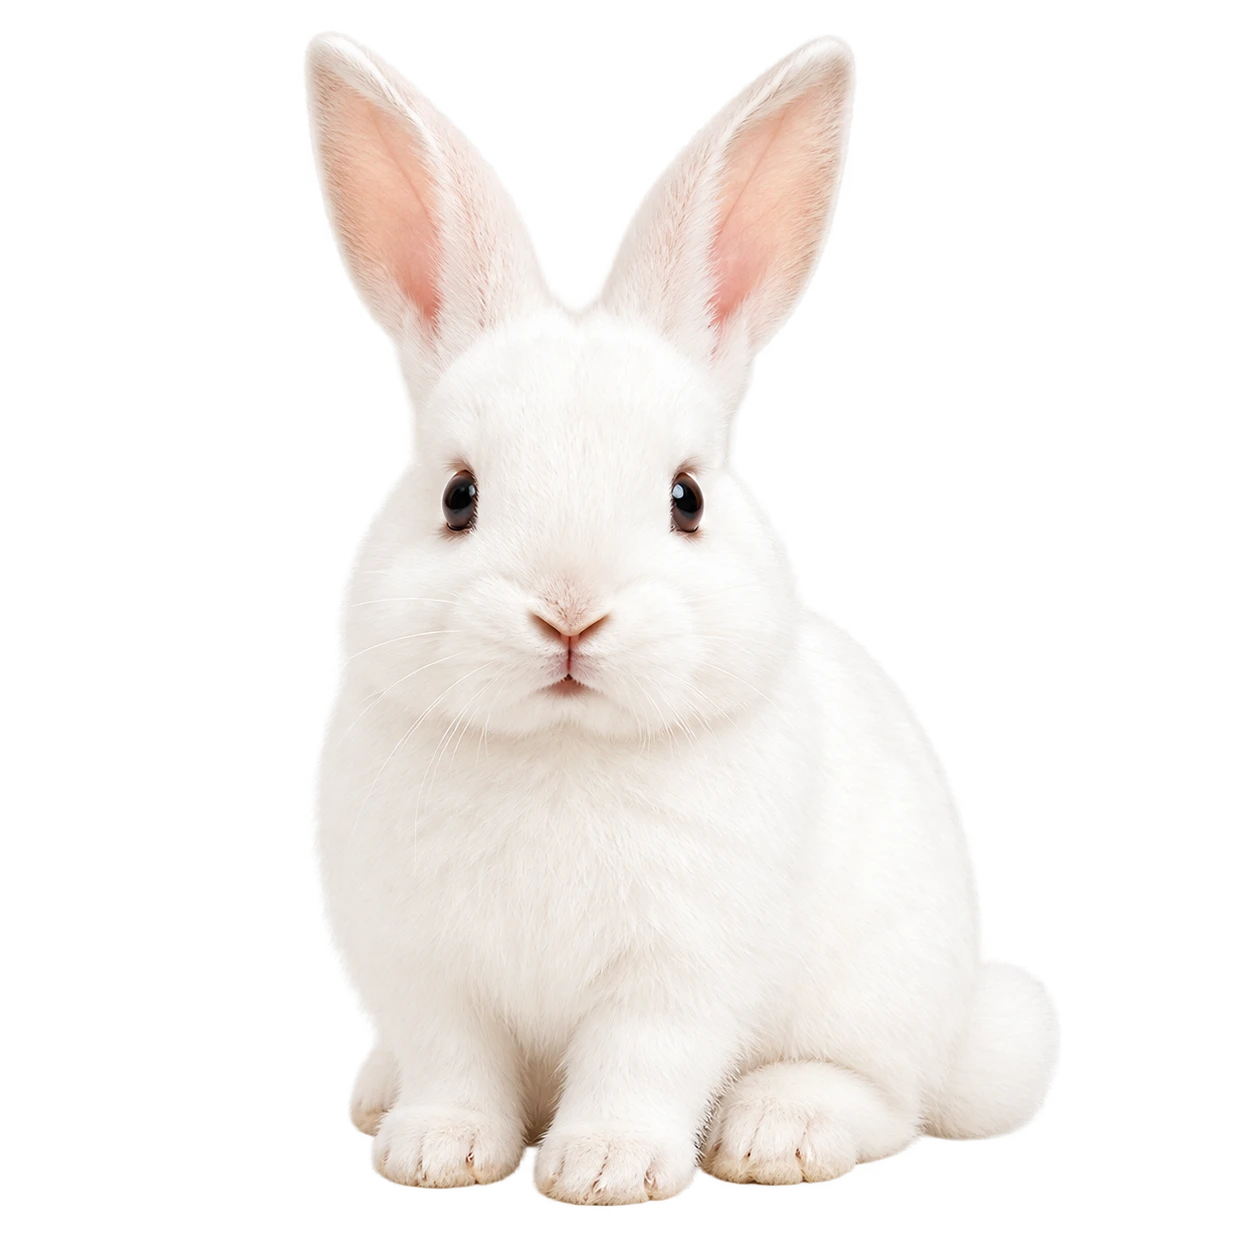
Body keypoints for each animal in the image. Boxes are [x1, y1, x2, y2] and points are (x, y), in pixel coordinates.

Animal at [302, 30, 1062, 1206]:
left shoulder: (676, 973)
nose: (571, 618)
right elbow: (456, 1066)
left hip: (883, 998)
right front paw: (437, 1152)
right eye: (458, 495)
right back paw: (378, 1099)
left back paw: (778, 1133)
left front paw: (605, 1168)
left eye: (686, 498)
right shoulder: (428, 973)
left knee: (882, 1096)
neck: (562, 749)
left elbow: (638, 1063)